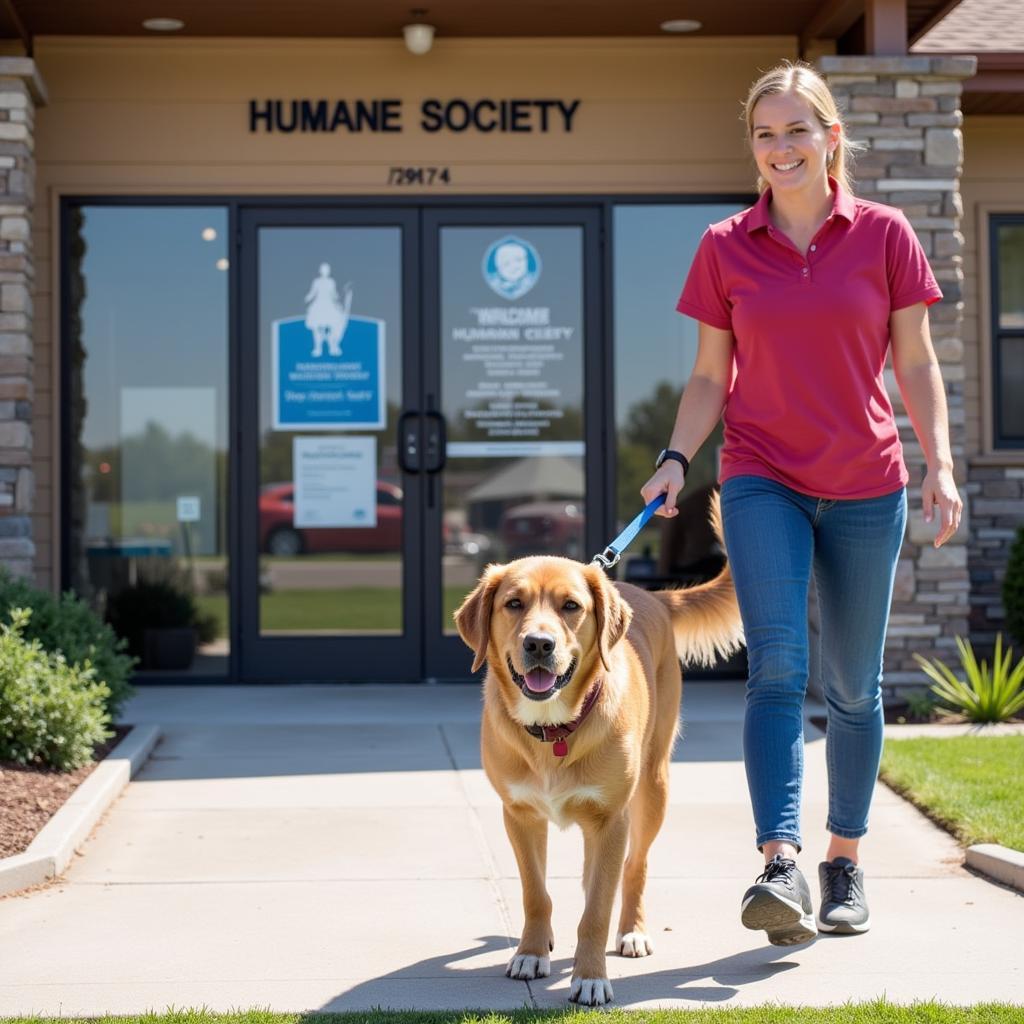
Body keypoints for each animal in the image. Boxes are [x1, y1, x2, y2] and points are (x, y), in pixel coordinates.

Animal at [456, 491, 745, 1003]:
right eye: (514, 603)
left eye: (571, 606)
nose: (539, 644)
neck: (554, 729)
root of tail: (652, 595)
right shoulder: (520, 815)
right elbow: (536, 893)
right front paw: (531, 953)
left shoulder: (611, 819)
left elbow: (596, 909)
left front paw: (590, 977)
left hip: (651, 789)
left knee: (633, 868)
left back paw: (631, 930)